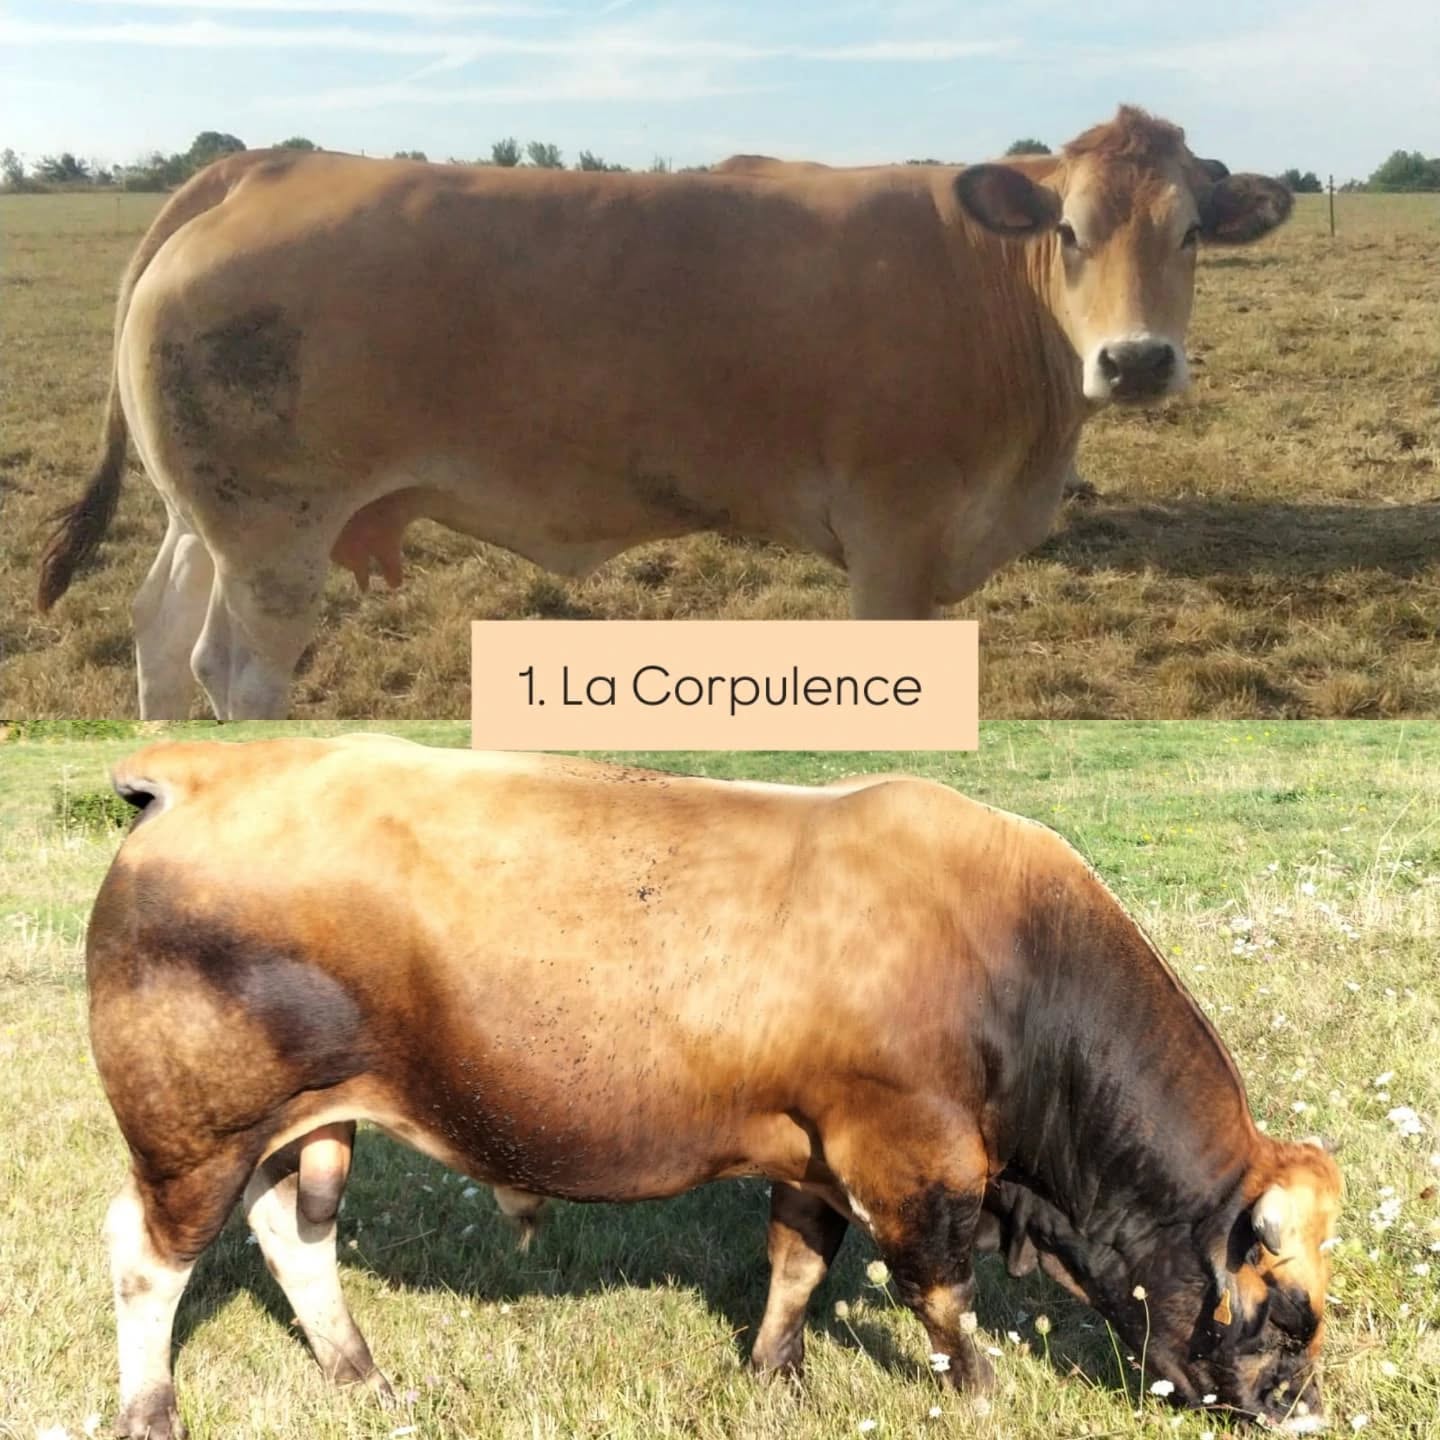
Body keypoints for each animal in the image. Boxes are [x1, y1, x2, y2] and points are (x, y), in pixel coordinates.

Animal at [37, 107, 1291, 719]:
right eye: (1069, 231)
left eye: (1192, 232)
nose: (1138, 361)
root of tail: (262, 168)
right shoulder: (894, 538)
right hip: (276, 530)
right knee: (235, 673)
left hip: (205, 513)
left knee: (158, 634)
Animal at [87, 736, 1340, 1438]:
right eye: (1287, 1311)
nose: (1298, 1412)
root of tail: (204, 772)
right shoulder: (913, 1157)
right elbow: (941, 1295)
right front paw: (982, 1395)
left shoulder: (818, 1150)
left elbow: (797, 1266)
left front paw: (775, 1377)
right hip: (195, 1128)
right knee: (149, 1256)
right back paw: (154, 1414)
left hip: (299, 1124)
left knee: (294, 1239)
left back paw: (363, 1379)